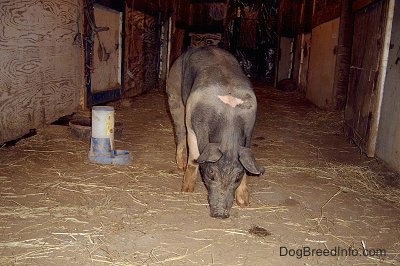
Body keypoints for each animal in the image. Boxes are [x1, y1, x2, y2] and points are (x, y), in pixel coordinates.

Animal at [165, 47, 262, 218]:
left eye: (238, 176)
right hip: (173, 93)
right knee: (179, 131)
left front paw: (245, 203)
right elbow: (194, 157)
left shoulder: (249, 131)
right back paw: (180, 166)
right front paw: (186, 191)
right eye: (211, 173)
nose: (220, 214)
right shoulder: (193, 126)